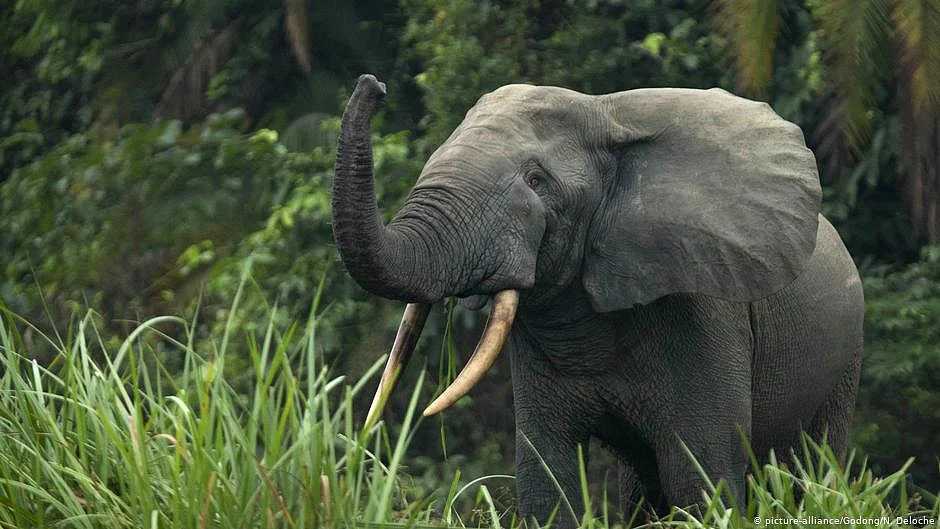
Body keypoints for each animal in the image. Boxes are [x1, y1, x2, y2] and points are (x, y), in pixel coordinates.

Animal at [331, 74, 864, 526]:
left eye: (536, 180)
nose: (374, 85)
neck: (606, 115)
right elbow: (547, 479)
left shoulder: (703, 310)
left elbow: (700, 476)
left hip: (845, 360)